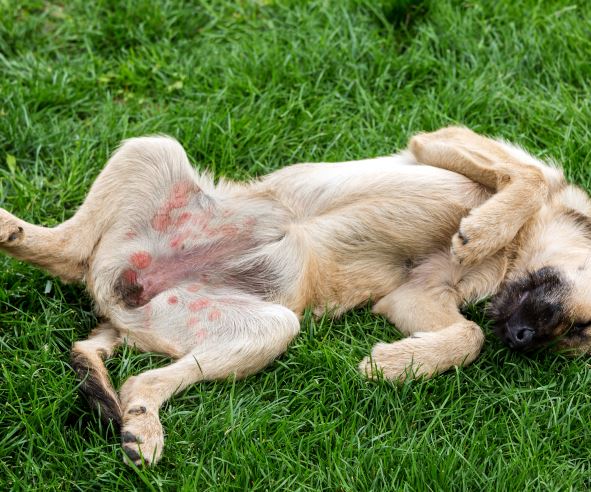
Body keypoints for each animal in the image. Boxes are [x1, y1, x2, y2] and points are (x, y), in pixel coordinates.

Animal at [0, 127, 588, 466]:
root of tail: (116, 303)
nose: (521, 338)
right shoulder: (447, 140)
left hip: (263, 327)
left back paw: (141, 424)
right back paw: (13, 229)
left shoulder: (416, 296)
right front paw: (485, 227)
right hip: (154, 149)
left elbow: (466, 335)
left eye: (576, 336)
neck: (518, 250)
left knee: (138, 377)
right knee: (68, 249)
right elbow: (529, 175)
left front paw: (396, 365)